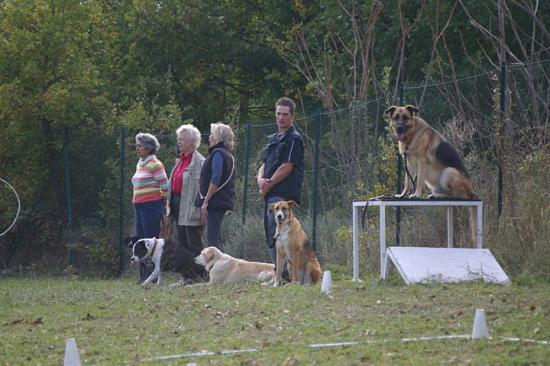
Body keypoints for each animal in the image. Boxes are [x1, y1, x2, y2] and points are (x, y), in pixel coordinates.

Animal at [386, 104, 480, 240]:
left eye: (405, 117)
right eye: (396, 117)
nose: (399, 128)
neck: (412, 135)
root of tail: (472, 192)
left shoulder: (422, 163)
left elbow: (419, 181)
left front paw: (416, 195)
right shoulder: (409, 165)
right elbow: (407, 182)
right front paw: (402, 195)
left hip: (449, 171)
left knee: (455, 196)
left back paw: (441, 196)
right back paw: (436, 195)